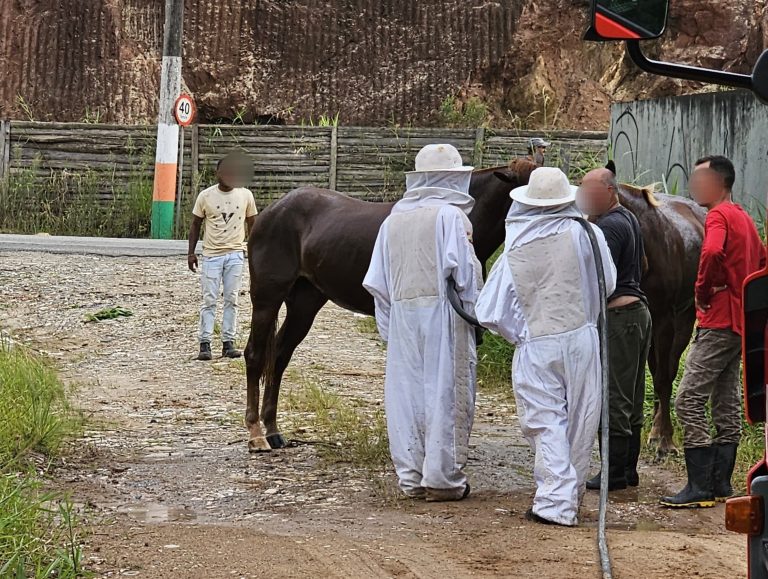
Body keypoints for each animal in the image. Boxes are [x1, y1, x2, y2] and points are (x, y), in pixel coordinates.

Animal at [244, 161, 536, 450]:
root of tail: (271, 211)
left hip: (304, 304)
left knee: (279, 356)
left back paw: (273, 431)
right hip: (267, 299)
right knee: (255, 355)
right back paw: (256, 434)